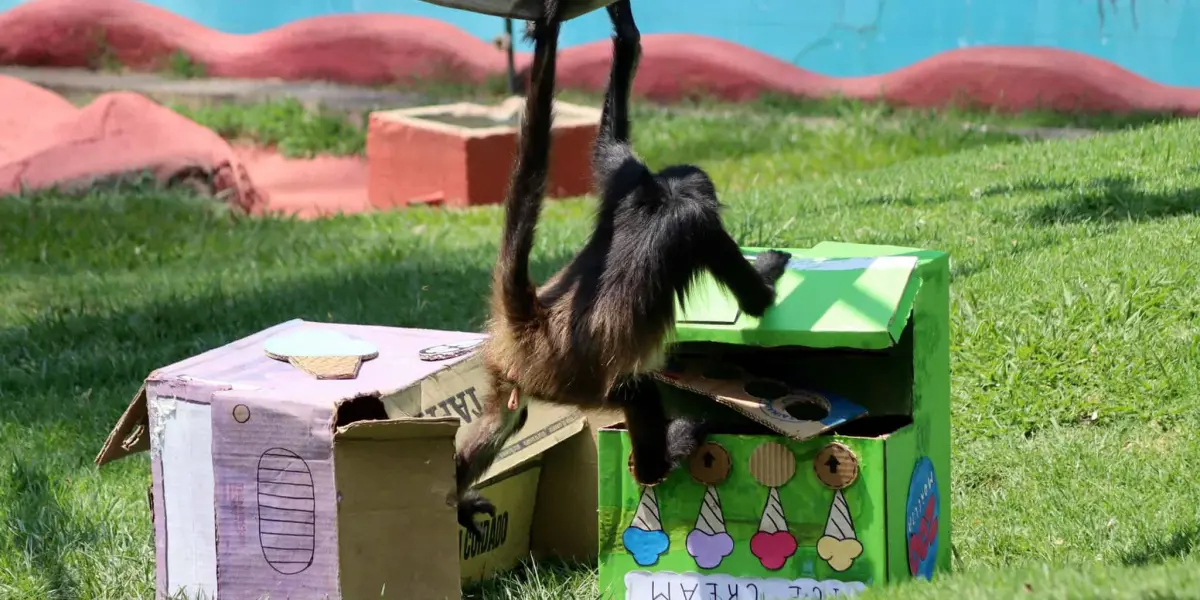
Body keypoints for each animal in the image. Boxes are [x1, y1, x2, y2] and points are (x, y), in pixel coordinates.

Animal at [453, 0, 792, 540]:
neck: (660, 195)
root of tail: (534, 319)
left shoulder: (627, 173)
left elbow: (610, 138)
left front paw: (624, 23)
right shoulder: (697, 222)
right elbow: (755, 299)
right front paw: (769, 268)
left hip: (511, 369)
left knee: (505, 419)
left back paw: (457, 498)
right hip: (578, 381)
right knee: (637, 390)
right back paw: (660, 461)